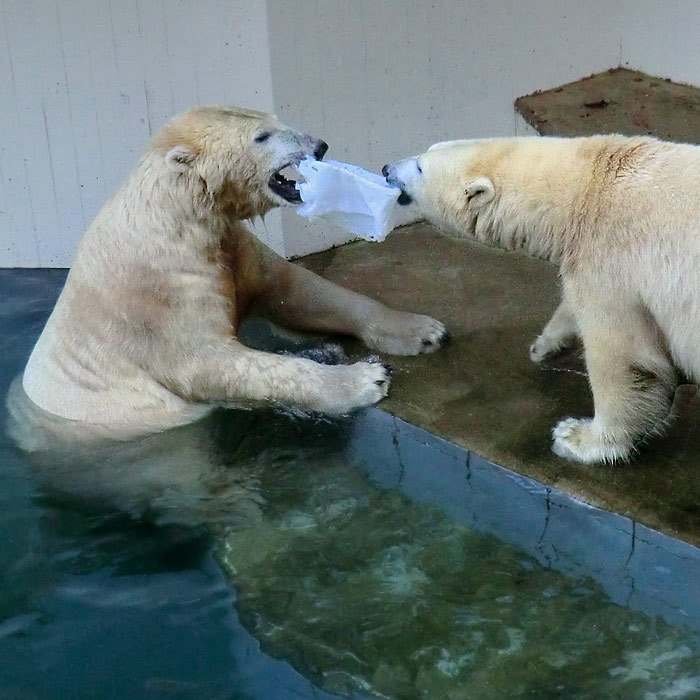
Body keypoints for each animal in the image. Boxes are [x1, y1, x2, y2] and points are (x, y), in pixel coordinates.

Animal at [24, 105, 448, 432]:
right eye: (262, 136)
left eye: (274, 119)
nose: (320, 146)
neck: (178, 217)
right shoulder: (159, 291)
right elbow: (209, 363)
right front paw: (365, 378)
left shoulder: (231, 244)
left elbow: (294, 290)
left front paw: (423, 330)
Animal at [382, 135, 700, 464]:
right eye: (426, 150)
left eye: (420, 167)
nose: (386, 168)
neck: (586, 190)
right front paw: (545, 345)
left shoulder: (611, 261)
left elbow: (623, 356)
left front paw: (575, 438)